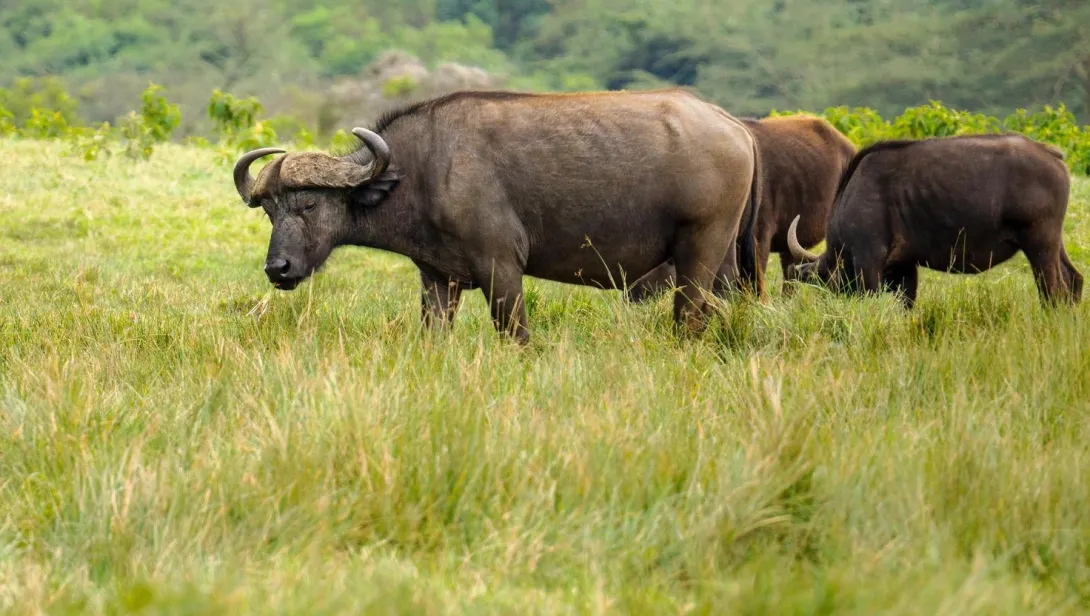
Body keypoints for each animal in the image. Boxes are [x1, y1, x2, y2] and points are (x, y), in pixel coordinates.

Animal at [229, 88, 758, 344]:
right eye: (269, 210)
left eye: (309, 203)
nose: (277, 268)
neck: (419, 172)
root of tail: (735, 126)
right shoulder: (437, 279)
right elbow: (434, 336)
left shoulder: (500, 268)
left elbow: (515, 335)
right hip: (724, 262)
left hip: (699, 252)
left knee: (689, 315)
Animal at [784, 134, 1081, 307]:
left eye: (827, 281)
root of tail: (1051, 154)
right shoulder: (905, 268)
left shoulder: (869, 261)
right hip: (1054, 243)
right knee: (1074, 280)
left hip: (1039, 245)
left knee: (1054, 290)